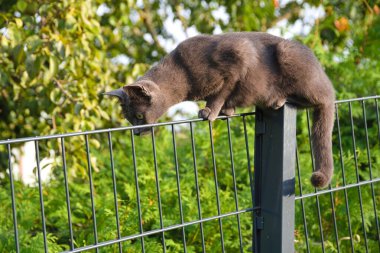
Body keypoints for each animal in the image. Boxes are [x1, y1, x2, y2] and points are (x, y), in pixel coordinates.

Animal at [104, 32, 336, 188]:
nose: (135, 131)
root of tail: (326, 81)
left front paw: (210, 111)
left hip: (288, 56)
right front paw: (227, 110)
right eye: (129, 119)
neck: (181, 73)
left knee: (315, 97)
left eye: (139, 116)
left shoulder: (239, 56)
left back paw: (279, 98)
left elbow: (221, 92)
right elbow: (228, 95)